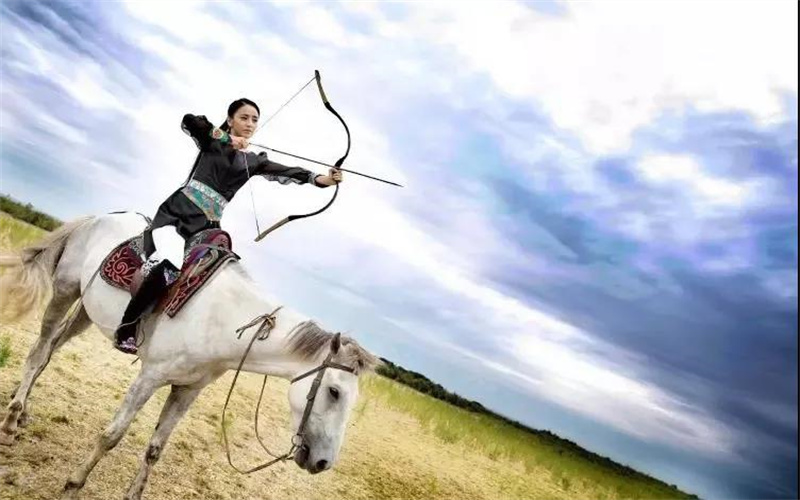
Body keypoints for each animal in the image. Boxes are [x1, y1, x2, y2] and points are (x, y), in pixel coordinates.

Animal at [0, 212, 379, 500]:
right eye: (334, 392)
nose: (323, 463)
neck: (221, 318)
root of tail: (98, 218)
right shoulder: (149, 378)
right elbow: (112, 436)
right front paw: (73, 484)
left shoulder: (187, 390)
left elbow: (155, 448)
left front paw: (133, 494)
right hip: (65, 291)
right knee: (38, 351)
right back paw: (11, 420)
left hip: (86, 313)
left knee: (50, 351)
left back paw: (23, 411)